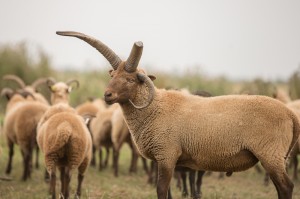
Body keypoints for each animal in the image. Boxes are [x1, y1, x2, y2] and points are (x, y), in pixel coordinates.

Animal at [55, 30, 300, 199]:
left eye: (131, 79)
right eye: (112, 74)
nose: (107, 95)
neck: (154, 108)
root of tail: (290, 114)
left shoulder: (167, 155)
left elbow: (162, 190)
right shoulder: (166, 159)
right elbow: (169, 191)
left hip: (271, 155)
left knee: (286, 187)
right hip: (277, 156)